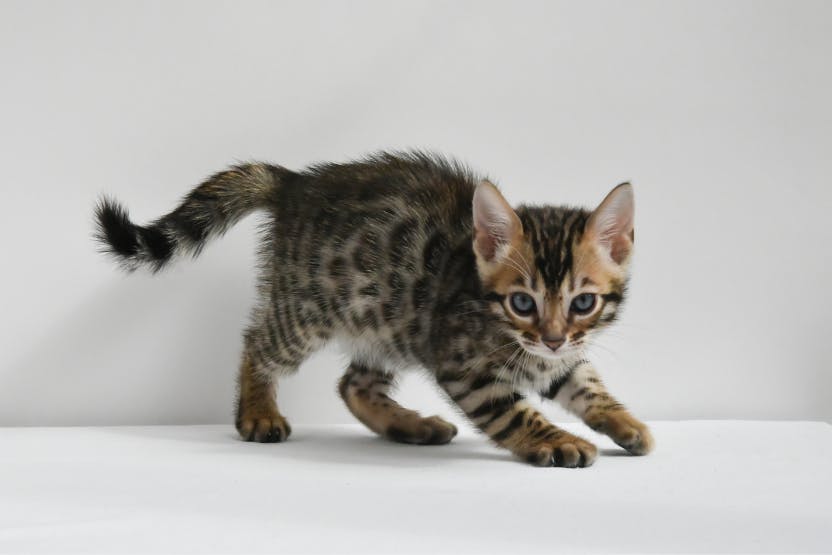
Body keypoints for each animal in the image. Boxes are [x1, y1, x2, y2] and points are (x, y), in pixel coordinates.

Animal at [96, 152, 648, 470]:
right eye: (522, 302)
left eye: (583, 302)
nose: (552, 336)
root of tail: (296, 184)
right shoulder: (466, 367)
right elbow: (515, 413)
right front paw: (555, 439)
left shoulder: (560, 357)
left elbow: (586, 384)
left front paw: (624, 421)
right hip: (307, 307)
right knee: (258, 343)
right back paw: (258, 412)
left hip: (388, 323)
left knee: (353, 384)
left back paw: (412, 426)